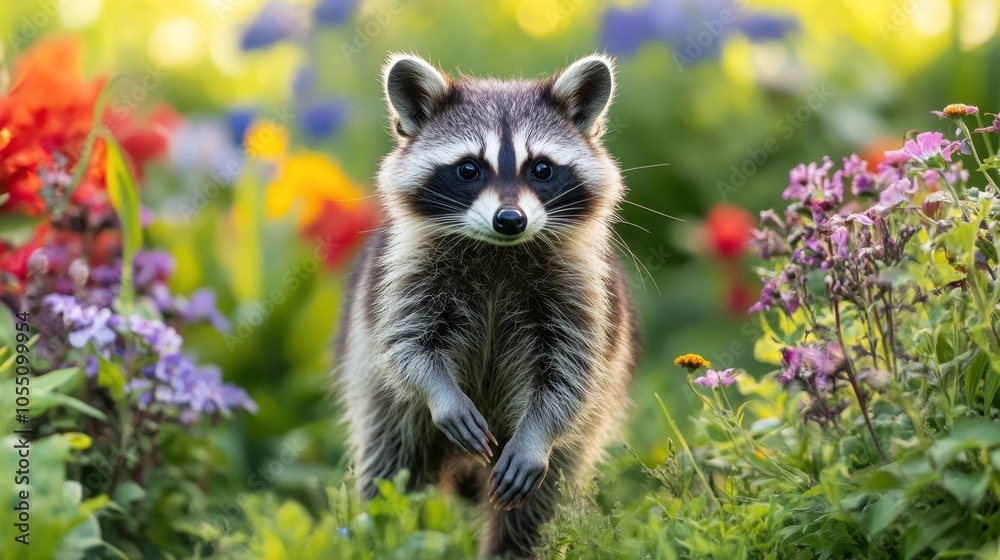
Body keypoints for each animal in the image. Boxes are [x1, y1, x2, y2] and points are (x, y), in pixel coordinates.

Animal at [334, 53, 639, 559]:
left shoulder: (582, 292)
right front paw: (442, 394)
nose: (510, 219)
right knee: (390, 470)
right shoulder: (403, 277)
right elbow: (407, 348)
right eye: (468, 169)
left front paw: (537, 434)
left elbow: (569, 374)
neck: (499, 250)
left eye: (541, 169)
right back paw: (384, 538)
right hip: (382, 401)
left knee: (539, 504)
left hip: (575, 440)